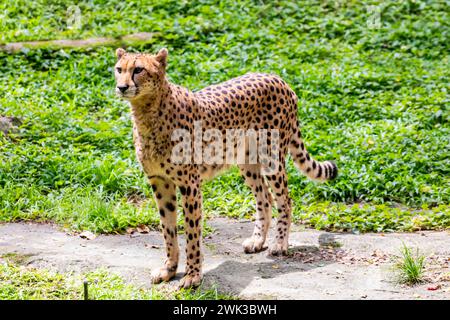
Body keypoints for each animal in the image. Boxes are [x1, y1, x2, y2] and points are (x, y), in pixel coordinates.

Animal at [114, 48, 336, 290]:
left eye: (138, 69)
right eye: (119, 69)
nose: (122, 87)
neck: (147, 111)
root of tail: (277, 77)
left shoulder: (190, 184)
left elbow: (192, 232)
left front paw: (193, 275)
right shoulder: (159, 181)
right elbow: (168, 230)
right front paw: (169, 269)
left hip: (271, 158)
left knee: (285, 199)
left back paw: (279, 244)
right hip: (247, 161)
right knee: (264, 198)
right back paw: (258, 240)